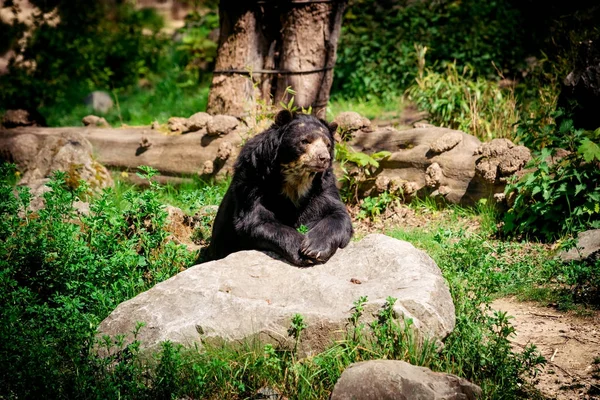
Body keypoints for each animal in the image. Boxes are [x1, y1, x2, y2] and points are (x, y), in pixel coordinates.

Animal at [209, 109, 354, 268]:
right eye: (305, 141)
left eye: (327, 144)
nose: (323, 158)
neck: (296, 178)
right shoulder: (252, 178)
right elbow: (255, 219)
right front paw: (302, 251)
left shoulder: (322, 185)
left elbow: (336, 212)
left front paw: (314, 249)